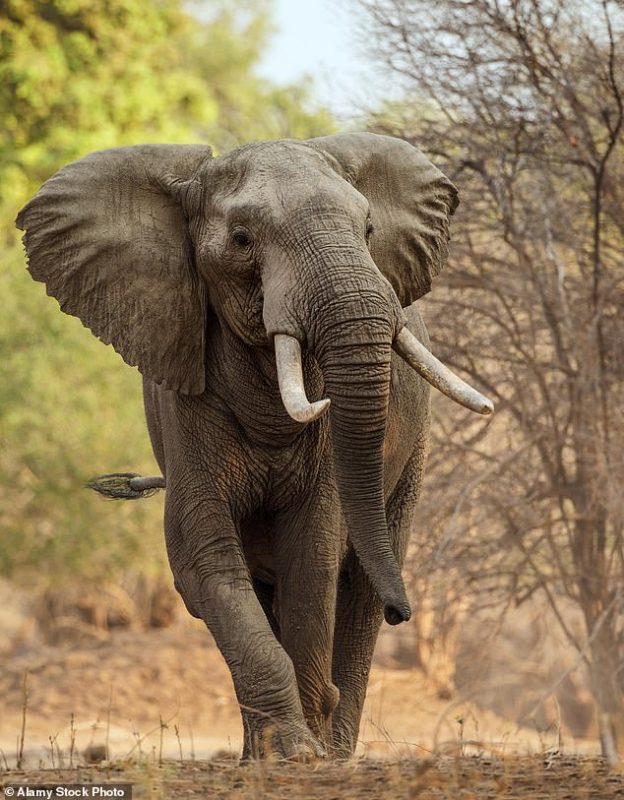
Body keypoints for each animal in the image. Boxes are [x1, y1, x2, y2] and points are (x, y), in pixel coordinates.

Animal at [17, 132, 492, 760]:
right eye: (242, 240)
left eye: (368, 229)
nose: (404, 612)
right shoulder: (185, 400)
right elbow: (203, 557)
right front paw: (287, 753)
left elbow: (312, 555)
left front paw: (309, 753)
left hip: (414, 454)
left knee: (359, 586)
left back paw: (338, 749)